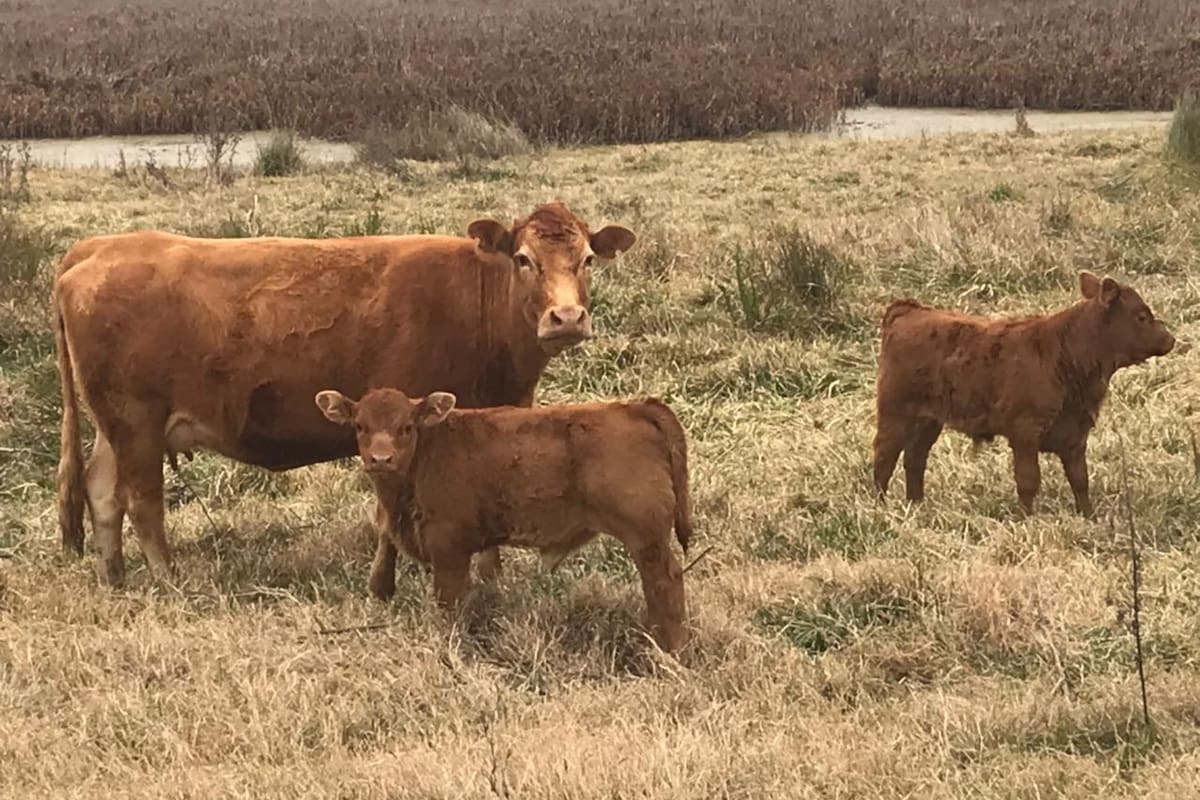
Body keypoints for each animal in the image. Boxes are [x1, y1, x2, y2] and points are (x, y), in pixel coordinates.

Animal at [53, 202, 636, 590]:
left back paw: (115, 578)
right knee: (143, 503)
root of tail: (98, 247)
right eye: (523, 258)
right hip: (136, 422)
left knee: (102, 492)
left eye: (587, 259)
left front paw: (491, 579)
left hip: (117, 426)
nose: (566, 317)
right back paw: (171, 582)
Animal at [312, 387, 693, 654]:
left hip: (646, 537)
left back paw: (669, 650)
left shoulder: (448, 547)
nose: (381, 459)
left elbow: (447, 603)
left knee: (664, 583)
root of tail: (635, 406)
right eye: (359, 426)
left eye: (406, 427)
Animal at [872, 271, 1175, 516]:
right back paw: (880, 506)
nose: (1170, 339)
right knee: (885, 456)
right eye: (1141, 316)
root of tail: (909, 310)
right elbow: (1028, 480)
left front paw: (1089, 516)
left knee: (915, 458)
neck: (1065, 354)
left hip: (928, 420)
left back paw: (916, 505)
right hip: (895, 413)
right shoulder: (1025, 431)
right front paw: (1027, 518)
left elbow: (1080, 479)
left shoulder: (1076, 434)